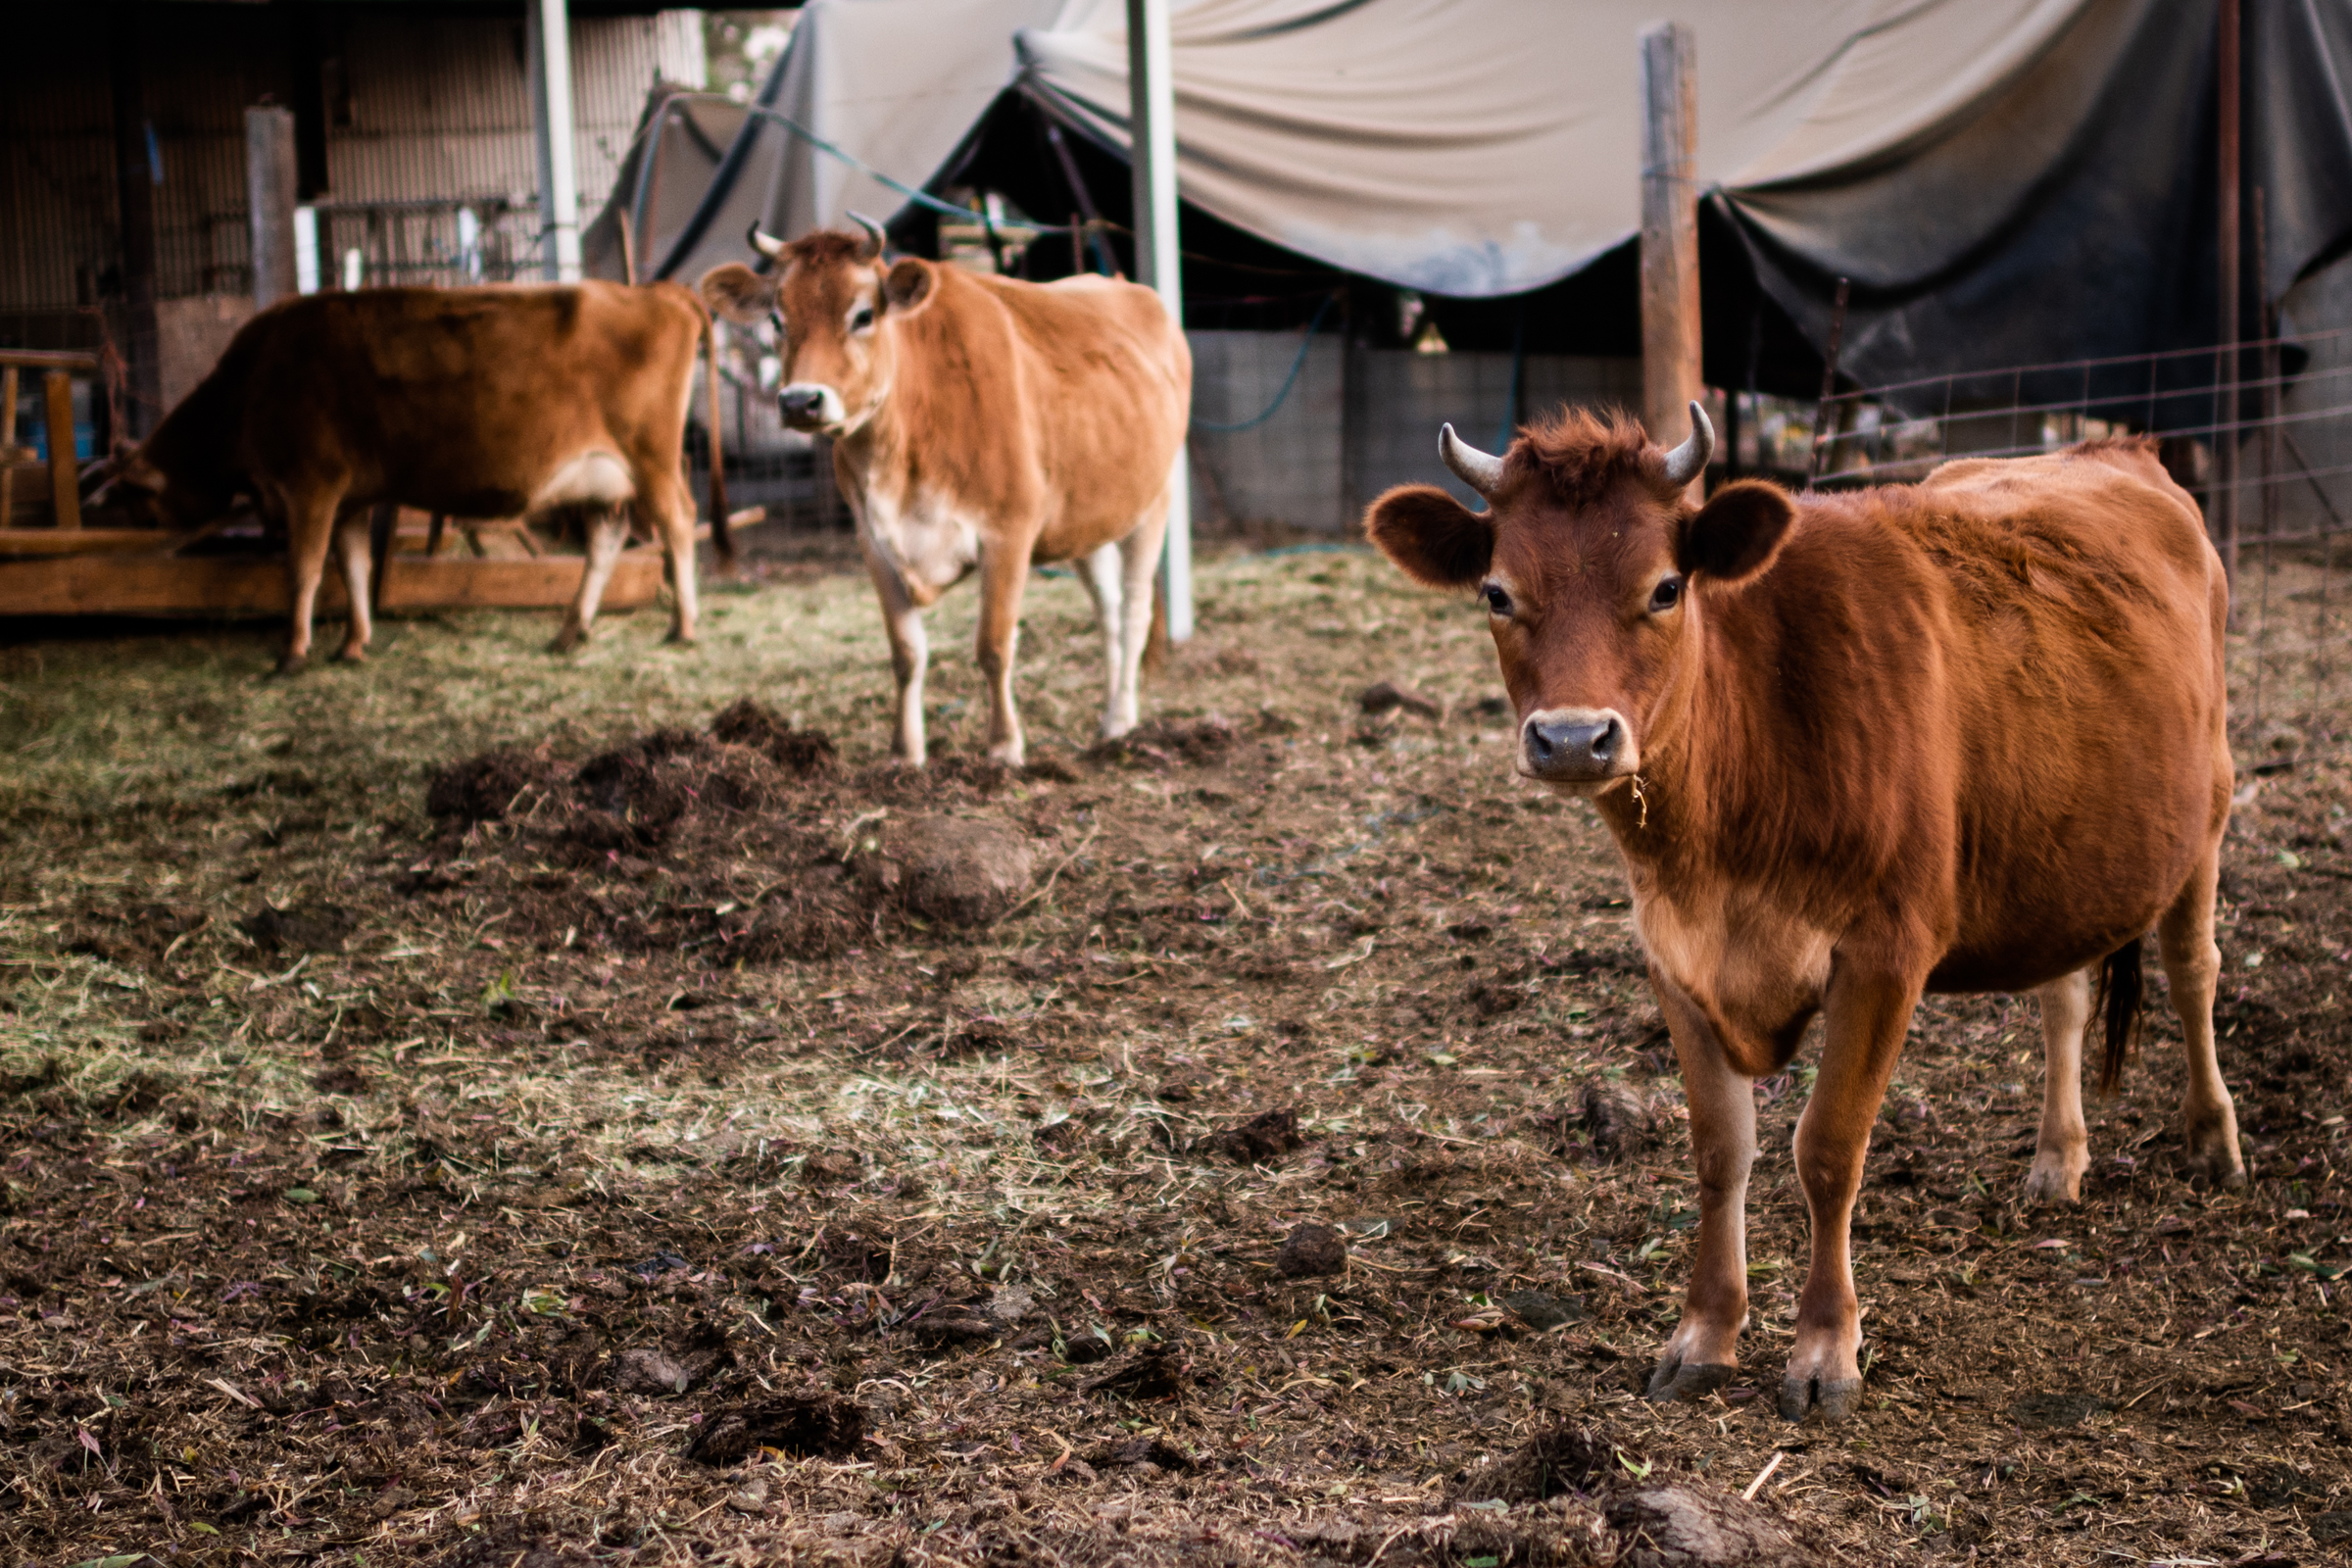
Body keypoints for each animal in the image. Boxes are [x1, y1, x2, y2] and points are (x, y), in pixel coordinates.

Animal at [112, 285, 714, 667]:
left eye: (141, 505)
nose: (153, 536)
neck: (249, 385)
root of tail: (658, 292)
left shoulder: (311, 484)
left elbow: (304, 569)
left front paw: (293, 652)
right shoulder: (350, 498)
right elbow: (353, 566)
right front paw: (352, 645)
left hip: (652, 459)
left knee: (679, 523)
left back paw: (684, 626)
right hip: (605, 480)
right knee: (607, 541)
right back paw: (571, 631)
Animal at [686, 220, 1185, 766]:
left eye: (864, 314)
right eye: (777, 318)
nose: (800, 401)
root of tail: (1125, 286)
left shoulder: (1008, 532)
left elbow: (993, 645)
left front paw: (1004, 746)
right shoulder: (872, 541)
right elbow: (906, 653)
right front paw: (905, 752)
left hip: (1154, 503)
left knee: (1134, 612)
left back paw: (1120, 719)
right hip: (1087, 522)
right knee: (1109, 612)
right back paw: (1112, 719)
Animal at [1373, 402, 2248, 1419]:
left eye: (1665, 588)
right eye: (1497, 593)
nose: (1571, 739)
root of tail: (2111, 448)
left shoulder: (1884, 954)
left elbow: (1828, 1148)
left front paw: (1826, 1352)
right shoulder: (1675, 956)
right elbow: (1721, 1151)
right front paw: (1704, 1335)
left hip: (2207, 814)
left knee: (2194, 972)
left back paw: (2213, 1139)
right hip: (2060, 847)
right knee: (2063, 997)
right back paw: (2057, 1159)